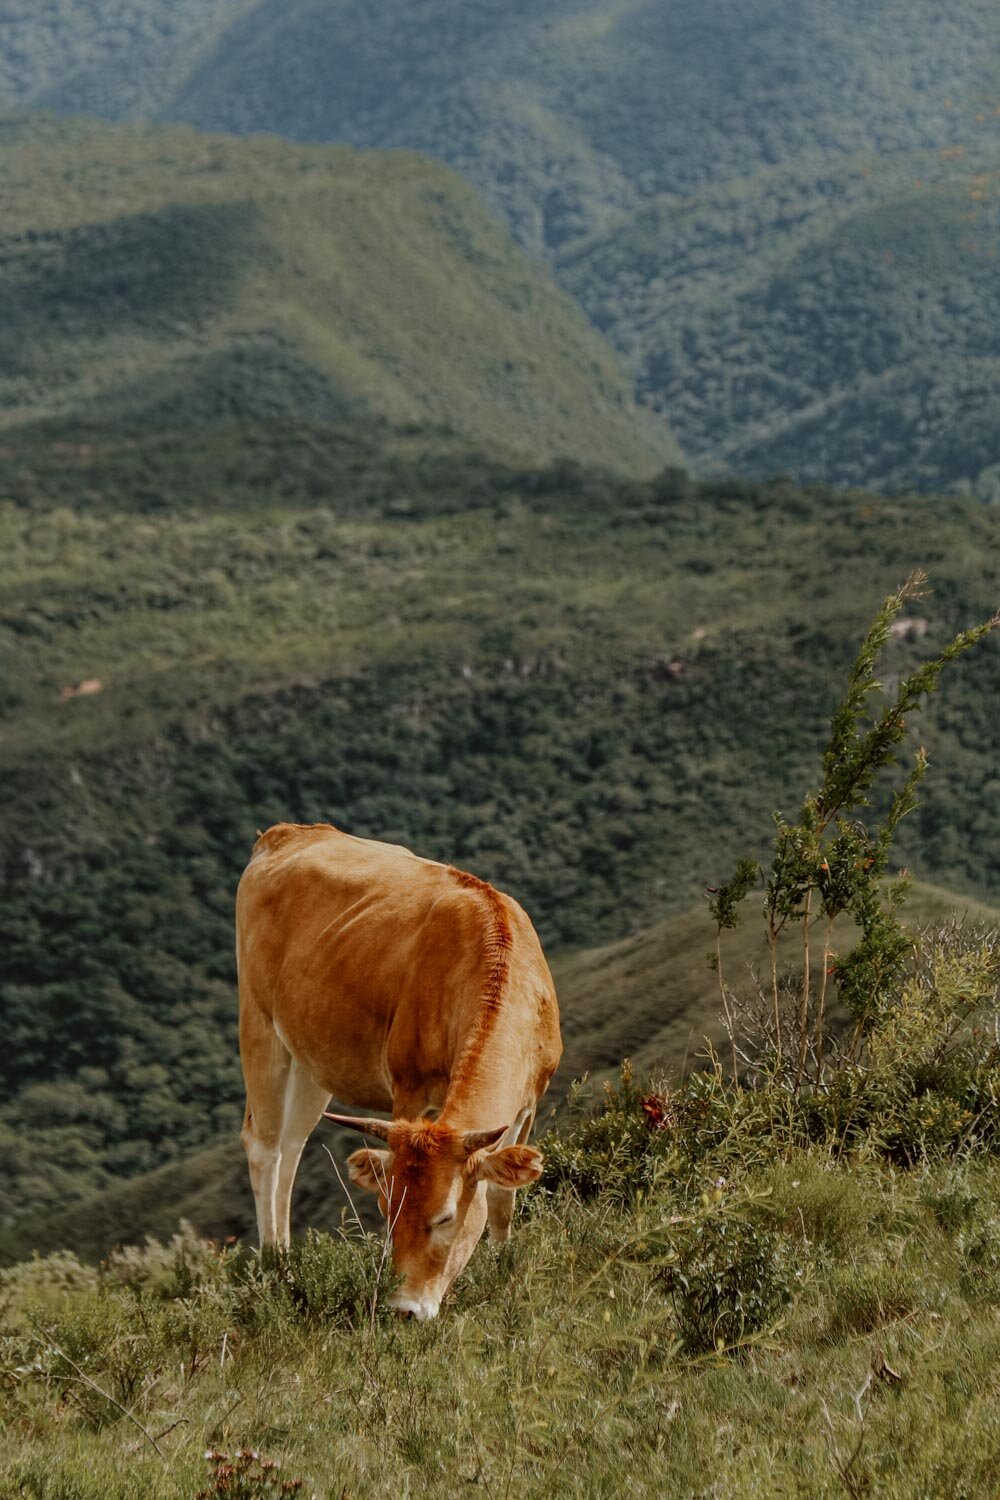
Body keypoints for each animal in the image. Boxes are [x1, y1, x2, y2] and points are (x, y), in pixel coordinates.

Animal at [235, 828, 563, 1320]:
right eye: (388, 1211)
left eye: (445, 1216)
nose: (405, 1309)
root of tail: (286, 833)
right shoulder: (409, 1089)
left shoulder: (529, 1103)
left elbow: (503, 1199)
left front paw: (503, 1272)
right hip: (259, 1025)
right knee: (264, 1147)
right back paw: (278, 1271)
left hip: (311, 1054)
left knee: (291, 1147)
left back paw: (289, 1262)